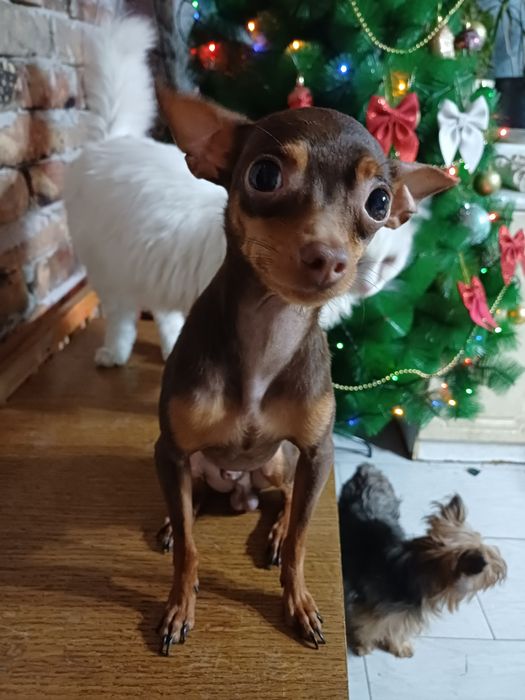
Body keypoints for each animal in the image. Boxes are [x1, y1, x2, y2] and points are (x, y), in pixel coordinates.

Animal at [64, 18, 422, 367]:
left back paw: (167, 349)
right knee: (122, 321)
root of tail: (112, 139)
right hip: (111, 274)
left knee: (161, 314)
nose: (365, 284)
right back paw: (114, 355)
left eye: (389, 263)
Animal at [152, 70, 456, 655]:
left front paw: (298, 603)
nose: (329, 258)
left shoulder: (317, 453)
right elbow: (190, 551)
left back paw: (270, 528)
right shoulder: (172, 451)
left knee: (287, 498)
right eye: (264, 175)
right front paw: (179, 603)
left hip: (279, 460)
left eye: (379, 202)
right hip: (186, 462)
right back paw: (176, 524)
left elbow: (299, 540)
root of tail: (241, 489)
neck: (270, 333)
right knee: (192, 504)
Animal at [338, 464, 507, 658]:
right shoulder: (374, 605)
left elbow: (396, 628)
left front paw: (399, 645)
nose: (501, 570)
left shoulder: (399, 611)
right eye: (492, 562)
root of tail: (367, 468)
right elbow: (368, 625)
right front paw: (363, 645)